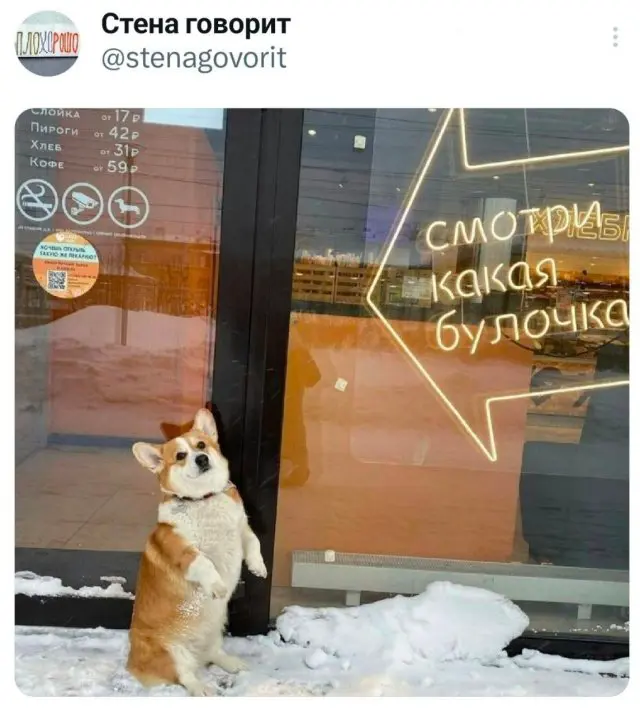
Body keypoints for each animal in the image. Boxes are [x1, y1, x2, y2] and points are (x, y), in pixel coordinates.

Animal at [127, 407, 267, 696]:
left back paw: (232, 663)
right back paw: (201, 688)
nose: (201, 458)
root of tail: (130, 663)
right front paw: (218, 586)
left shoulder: (242, 529)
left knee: (213, 654)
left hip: (216, 631)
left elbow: (254, 542)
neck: (204, 499)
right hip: (171, 653)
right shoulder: (182, 549)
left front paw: (258, 566)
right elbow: (204, 563)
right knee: (185, 675)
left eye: (201, 445)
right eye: (180, 456)